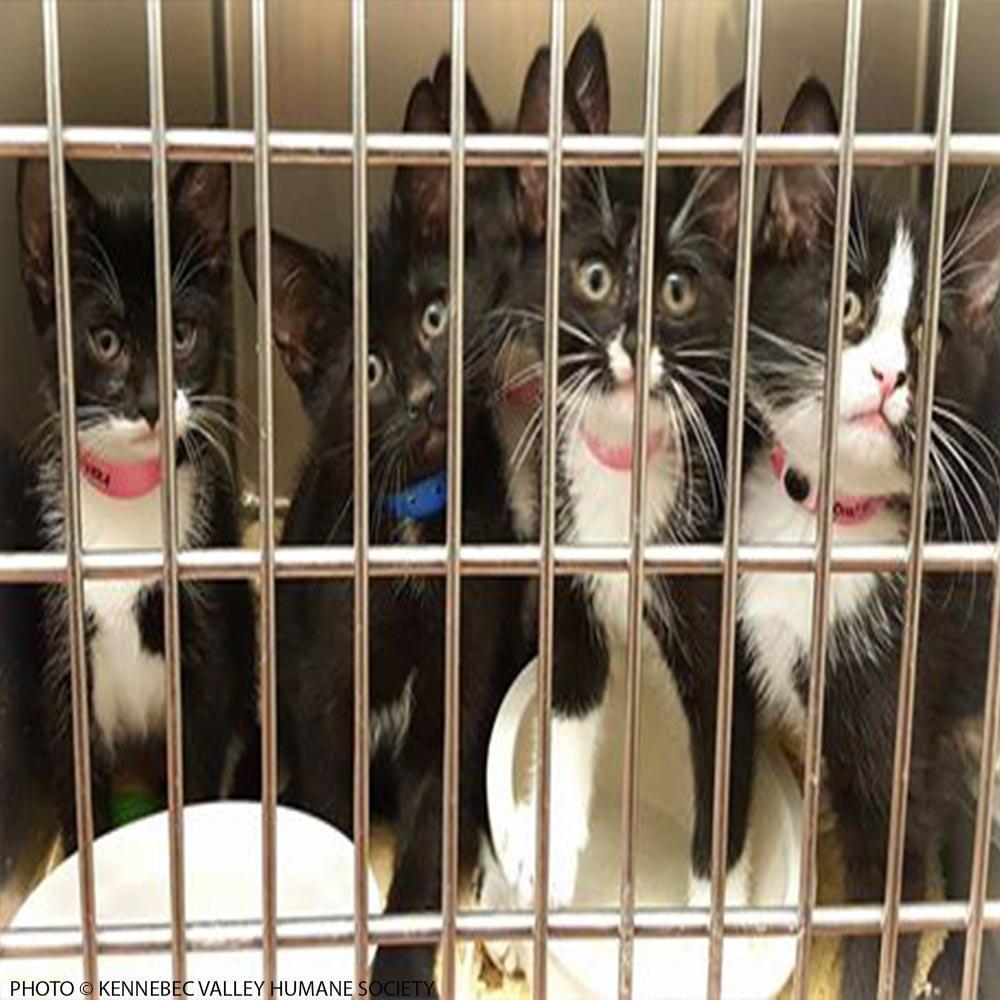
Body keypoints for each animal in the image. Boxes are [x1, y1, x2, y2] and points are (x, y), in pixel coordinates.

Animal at [17, 159, 258, 850]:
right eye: (104, 340)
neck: (128, 497)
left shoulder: (207, 643)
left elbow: (202, 755)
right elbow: (73, 771)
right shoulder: (60, 650)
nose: (152, 404)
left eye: (181, 335)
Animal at [240, 63, 526, 989]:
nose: (423, 397)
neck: (412, 525)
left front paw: (401, 968)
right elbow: (335, 817)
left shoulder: (457, 688)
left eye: (436, 316)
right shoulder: (320, 693)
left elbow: (433, 832)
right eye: (365, 368)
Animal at [488, 24, 758, 913]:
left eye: (676, 290)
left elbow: (723, 780)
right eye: (595, 277)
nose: (634, 342)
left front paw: (711, 914)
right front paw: (547, 849)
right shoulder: (566, 569)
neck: (622, 462)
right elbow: (569, 703)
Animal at [740, 77, 1000, 999]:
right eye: (846, 304)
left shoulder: (904, 707)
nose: (890, 375)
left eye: (928, 335)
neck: (825, 521)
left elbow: (887, 888)